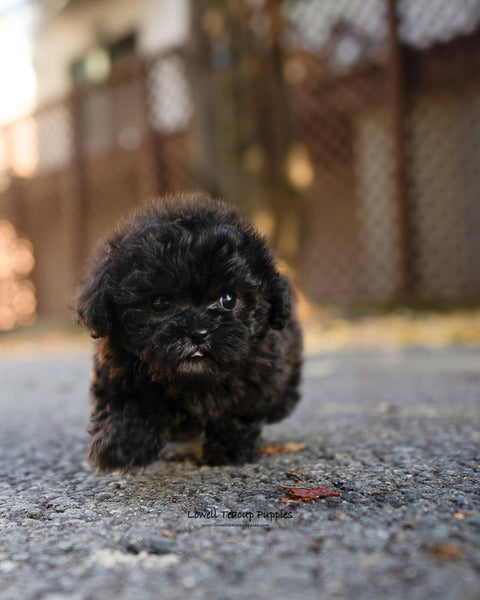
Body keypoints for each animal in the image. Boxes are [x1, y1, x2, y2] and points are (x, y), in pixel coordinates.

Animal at [77, 195, 302, 472]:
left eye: (229, 299)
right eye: (159, 302)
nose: (197, 333)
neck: (192, 380)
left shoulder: (258, 377)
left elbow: (237, 412)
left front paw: (229, 449)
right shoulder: (117, 367)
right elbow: (128, 400)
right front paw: (122, 444)